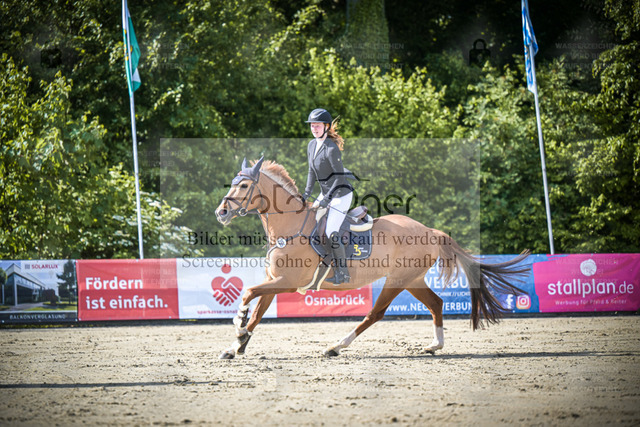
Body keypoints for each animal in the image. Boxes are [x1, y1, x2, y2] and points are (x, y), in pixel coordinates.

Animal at [214, 157, 530, 359]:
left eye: (244, 187)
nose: (221, 212)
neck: (290, 226)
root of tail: (429, 230)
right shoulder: (275, 280)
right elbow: (258, 312)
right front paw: (236, 345)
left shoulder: (288, 281)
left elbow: (247, 294)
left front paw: (238, 323)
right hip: (413, 279)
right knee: (436, 304)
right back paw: (434, 346)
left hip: (397, 280)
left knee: (375, 314)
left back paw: (336, 346)